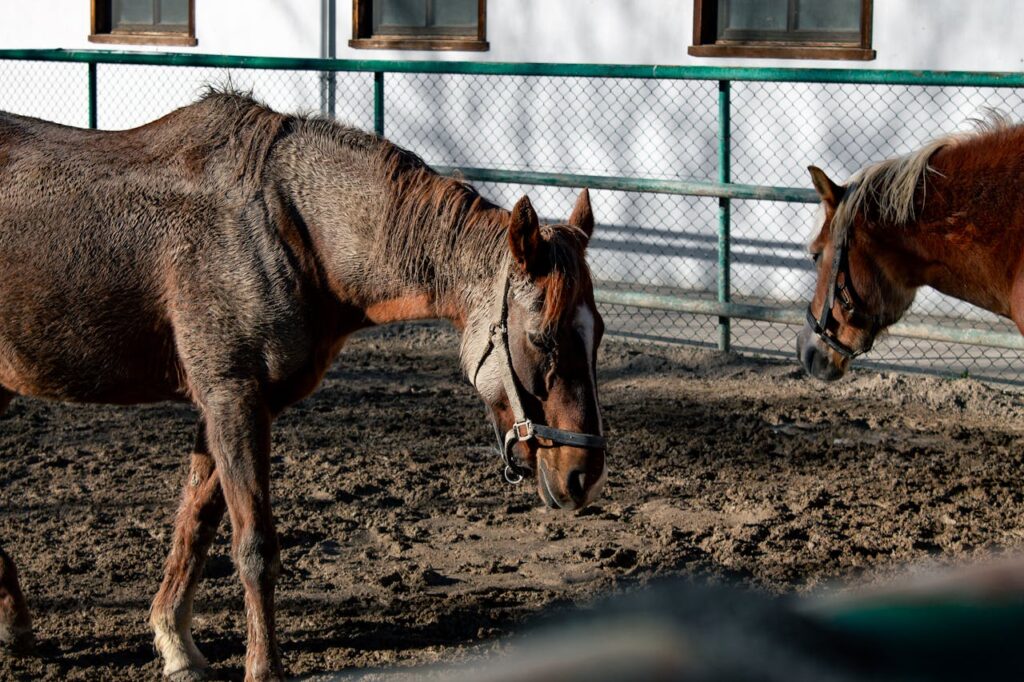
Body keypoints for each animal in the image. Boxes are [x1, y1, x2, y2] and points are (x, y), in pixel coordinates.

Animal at [0, 91, 607, 681]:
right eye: (542, 338)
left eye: (597, 332)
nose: (584, 475)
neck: (283, 228)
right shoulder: (233, 399)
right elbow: (254, 546)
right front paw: (263, 666)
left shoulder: (233, 407)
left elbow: (196, 523)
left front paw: (175, 641)